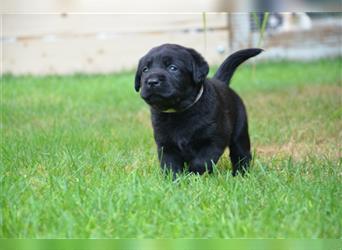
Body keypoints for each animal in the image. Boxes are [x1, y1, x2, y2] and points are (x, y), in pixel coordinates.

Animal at [134, 44, 262, 177]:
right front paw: (174, 179)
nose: (152, 81)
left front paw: (193, 176)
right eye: (145, 70)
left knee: (241, 154)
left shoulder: (214, 141)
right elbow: (169, 164)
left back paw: (241, 174)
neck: (178, 112)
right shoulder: (165, 144)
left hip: (240, 132)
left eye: (173, 68)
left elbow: (201, 161)